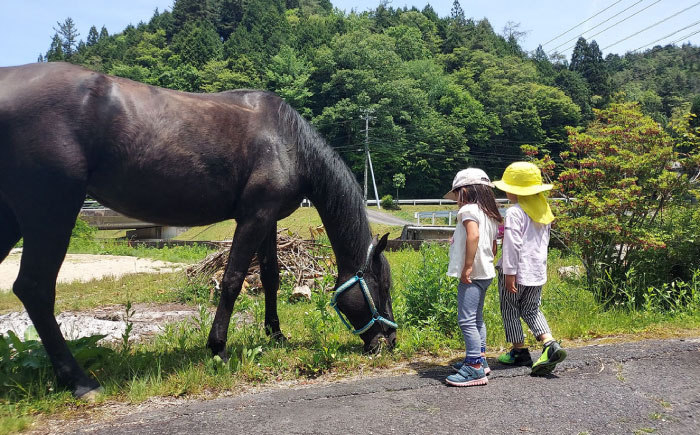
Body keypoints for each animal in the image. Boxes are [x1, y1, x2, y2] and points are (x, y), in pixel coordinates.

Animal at [0, 63, 396, 400]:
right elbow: (234, 278)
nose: (390, 340)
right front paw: (218, 347)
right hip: (50, 212)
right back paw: (80, 382)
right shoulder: (253, 217)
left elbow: (271, 276)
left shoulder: (268, 219)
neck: (287, 141)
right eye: (382, 287)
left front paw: (276, 334)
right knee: (35, 288)